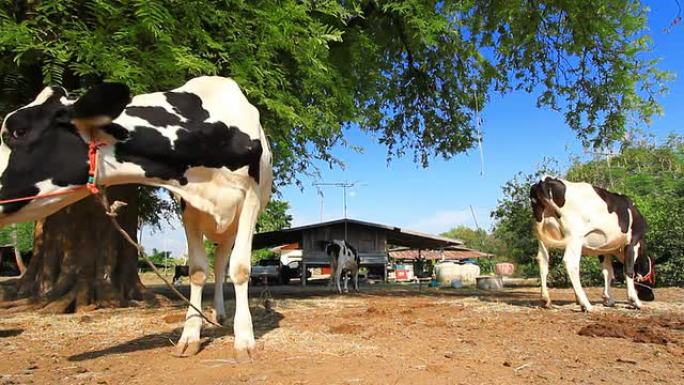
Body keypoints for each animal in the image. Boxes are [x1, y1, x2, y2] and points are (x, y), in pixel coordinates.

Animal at [0, 76, 272, 358]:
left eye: (18, 131)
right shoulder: (188, 207)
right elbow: (197, 271)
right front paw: (190, 336)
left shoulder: (249, 201)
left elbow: (240, 268)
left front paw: (244, 340)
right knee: (217, 265)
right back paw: (217, 314)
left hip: (230, 226)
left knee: (222, 264)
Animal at [528, 177, 652, 312]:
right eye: (651, 274)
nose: (651, 297)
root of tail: (545, 181)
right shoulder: (632, 242)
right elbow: (629, 270)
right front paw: (635, 301)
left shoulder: (604, 250)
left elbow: (607, 272)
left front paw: (608, 300)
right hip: (575, 236)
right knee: (571, 263)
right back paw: (586, 304)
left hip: (542, 236)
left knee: (543, 260)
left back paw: (546, 300)